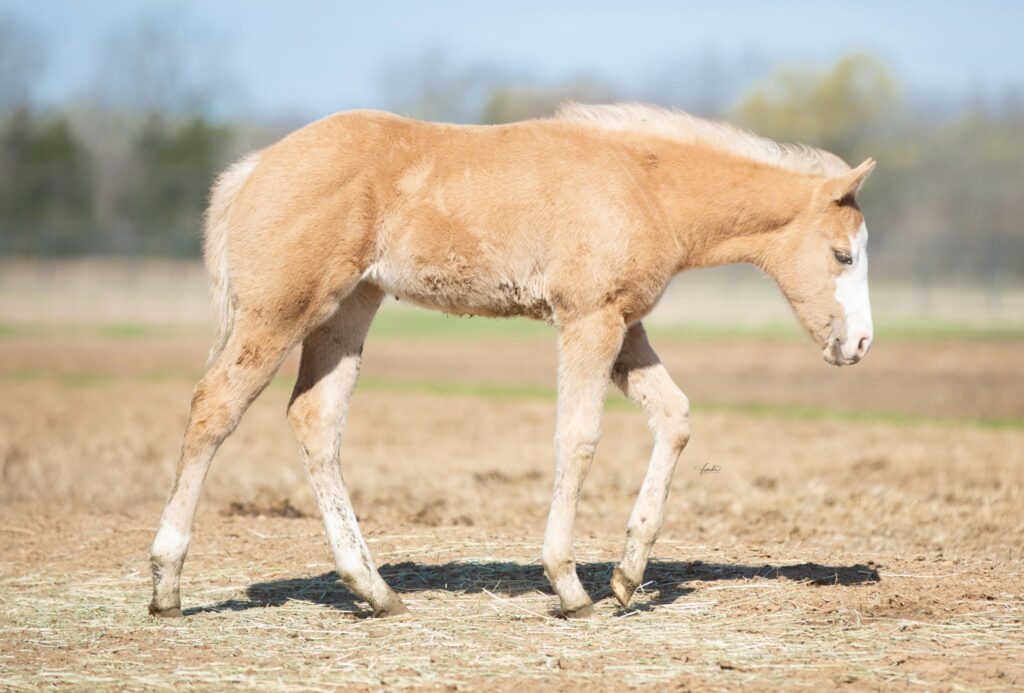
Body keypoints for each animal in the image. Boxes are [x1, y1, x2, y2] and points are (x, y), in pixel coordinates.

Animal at [149, 102, 875, 619]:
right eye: (843, 254)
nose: (861, 345)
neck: (646, 183)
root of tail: (254, 167)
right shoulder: (588, 319)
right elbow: (578, 437)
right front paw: (570, 585)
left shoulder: (624, 324)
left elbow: (674, 417)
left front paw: (627, 575)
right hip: (279, 313)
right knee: (214, 408)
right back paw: (166, 584)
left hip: (349, 309)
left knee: (315, 421)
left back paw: (374, 590)